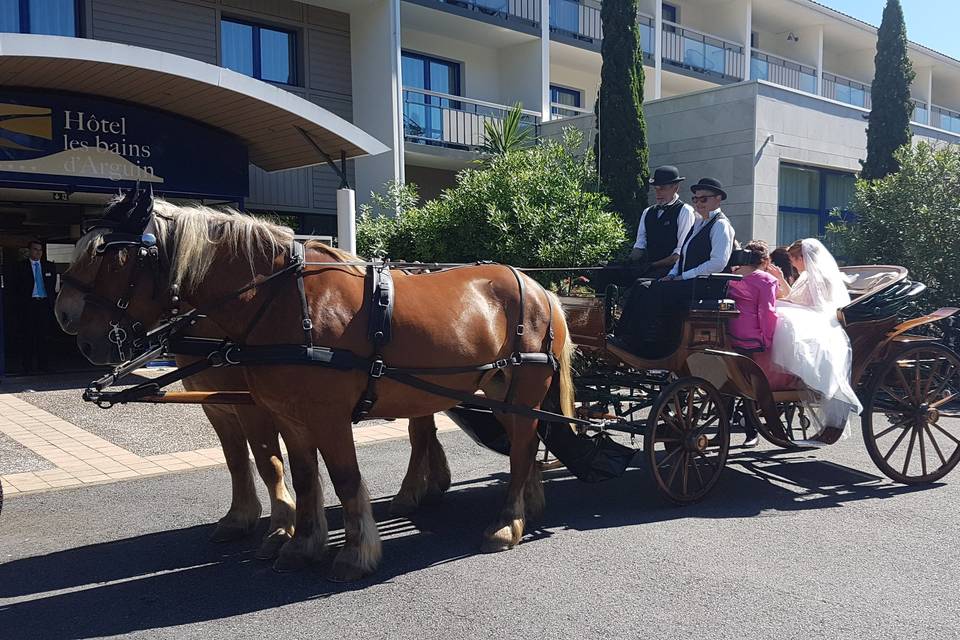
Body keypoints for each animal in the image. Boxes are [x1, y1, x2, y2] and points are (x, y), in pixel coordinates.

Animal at [69, 190, 576, 580]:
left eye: (110, 255)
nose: (78, 331)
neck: (281, 300)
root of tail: (539, 288)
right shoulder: (289, 416)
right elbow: (303, 476)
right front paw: (301, 545)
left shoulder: (326, 416)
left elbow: (344, 479)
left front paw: (354, 553)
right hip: (500, 393)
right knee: (525, 441)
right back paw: (526, 504)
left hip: (521, 389)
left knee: (521, 447)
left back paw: (507, 523)